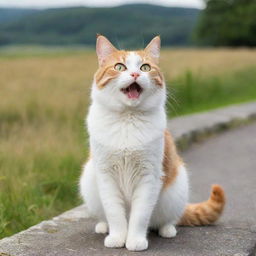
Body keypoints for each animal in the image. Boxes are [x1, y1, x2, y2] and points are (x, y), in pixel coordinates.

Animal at [79, 35, 224, 251]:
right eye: (120, 67)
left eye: (145, 67)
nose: (135, 73)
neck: (128, 120)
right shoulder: (106, 175)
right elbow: (114, 213)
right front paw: (117, 237)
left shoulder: (149, 176)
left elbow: (140, 216)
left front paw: (135, 241)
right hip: (89, 179)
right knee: (105, 216)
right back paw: (103, 226)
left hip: (178, 188)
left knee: (168, 219)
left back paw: (168, 230)